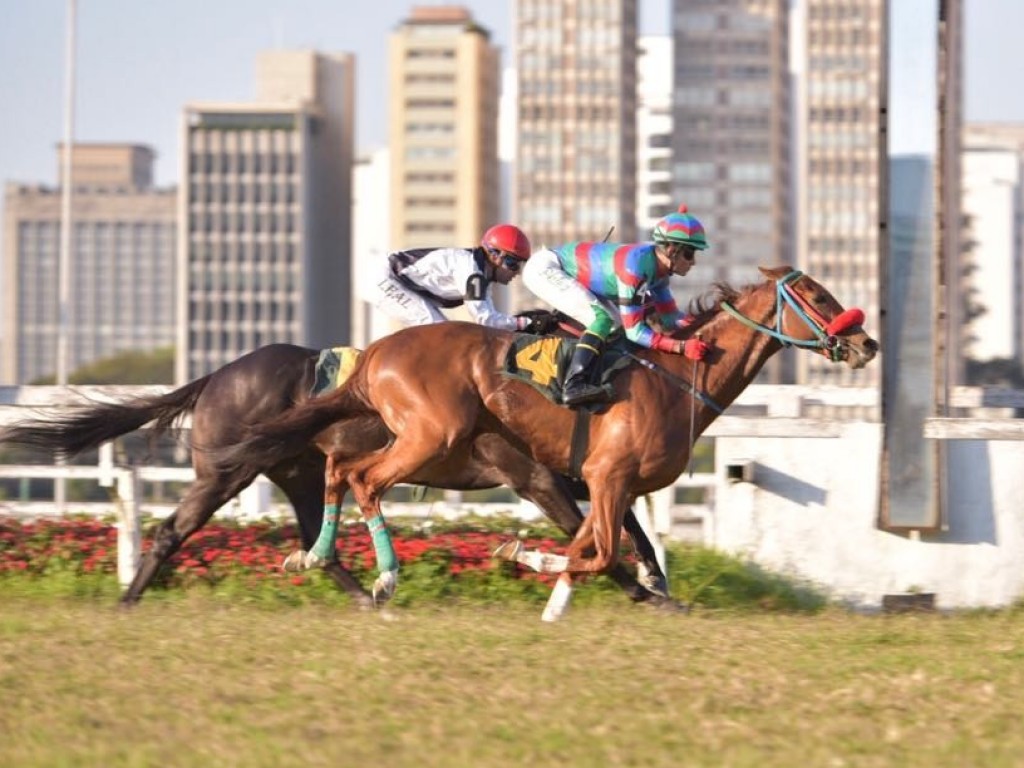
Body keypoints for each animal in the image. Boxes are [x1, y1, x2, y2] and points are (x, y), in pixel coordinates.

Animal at [0, 333, 667, 610]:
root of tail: (214, 376)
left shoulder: (586, 472)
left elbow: (623, 521)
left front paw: (657, 580)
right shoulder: (534, 478)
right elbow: (592, 532)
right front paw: (643, 591)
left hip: (293, 470)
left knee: (313, 535)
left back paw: (363, 594)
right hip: (227, 472)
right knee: (171, 530)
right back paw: (129, 600)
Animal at [211, 268, 876, 618]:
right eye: (819, 297)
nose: (866, 343)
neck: (679, 380)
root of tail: (376, 353)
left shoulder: (604, 485)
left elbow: (603, 549)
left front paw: (565, 600)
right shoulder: (600, 478)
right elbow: (602, 553)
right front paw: (525, 558)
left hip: (403, 437)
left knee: (340, 469)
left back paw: (313, 556)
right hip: (433, 435)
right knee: (365, 479)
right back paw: (385, 579)